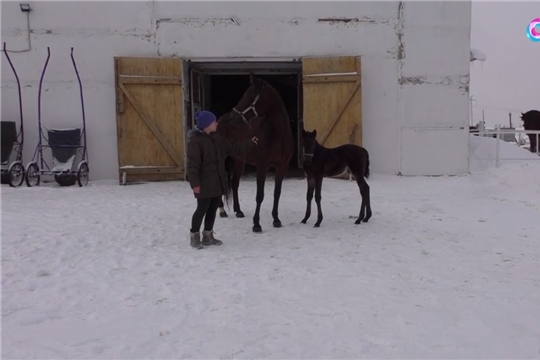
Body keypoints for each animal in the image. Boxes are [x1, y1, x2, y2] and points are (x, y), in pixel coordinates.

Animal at [214, 75, 294, 233]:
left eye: (249, 95)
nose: (233, 117)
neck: (277, 135)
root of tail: (221, 120)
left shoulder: (282, 167)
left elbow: (277, 193)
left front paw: (276, 220)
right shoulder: (262, 166)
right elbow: (259, 195)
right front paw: (256, 224)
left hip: (239, 161)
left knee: (234, 182)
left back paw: (238, 211)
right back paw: (222, 210)